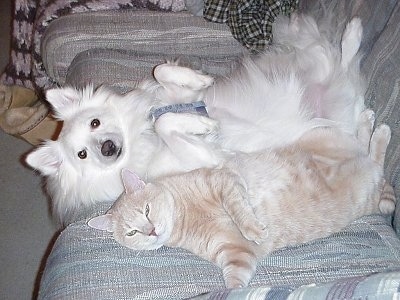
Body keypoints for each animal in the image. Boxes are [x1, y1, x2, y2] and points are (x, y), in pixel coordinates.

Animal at [26, 14, 368, 225]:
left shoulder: (176, 97)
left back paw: (353, 33)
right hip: (336, 120)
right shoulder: (206, 158)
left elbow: (162, 72)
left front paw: (201, 79)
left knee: (341, 61)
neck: (140, 136)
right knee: (353, 92)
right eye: (82, 155)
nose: (107, 148)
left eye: (95, 123)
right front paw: (204, 125)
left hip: (323, 74)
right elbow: (168, 123)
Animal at [88, 110, 394, 288]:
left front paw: (255, 228)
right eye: (131, 232)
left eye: (147, 210)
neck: (187, 216)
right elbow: (235, 284)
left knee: (370, 151)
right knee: (370, 155)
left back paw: (376, 126)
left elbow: (238, 208)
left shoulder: (222, 178)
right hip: (365, 183)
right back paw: (375, 127)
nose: (151, 231)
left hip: (328, 138)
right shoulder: (236, 254)